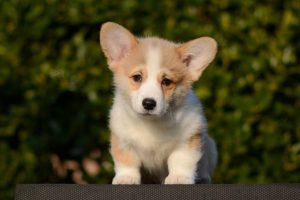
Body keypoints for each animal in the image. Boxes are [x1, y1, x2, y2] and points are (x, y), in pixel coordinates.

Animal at [99, 21, 217, 184]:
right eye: (137, 77)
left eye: (166, 81)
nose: (149, 103)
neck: (151, 123)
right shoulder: (123, 140)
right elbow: (127, 161)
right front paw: (126, 178)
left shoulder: (188, 139)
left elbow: (181, 160)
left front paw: (179, 178)